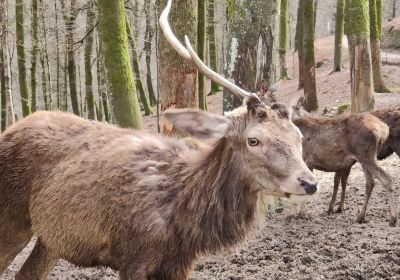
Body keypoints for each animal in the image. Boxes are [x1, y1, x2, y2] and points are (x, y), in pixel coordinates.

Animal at [0, 1, 318, 278]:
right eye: (254, 140)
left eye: (299, 136)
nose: (309, 182)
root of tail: (10, 130)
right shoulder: (134, 255)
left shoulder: (180, 263)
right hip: (12, 217)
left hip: (51, 239)